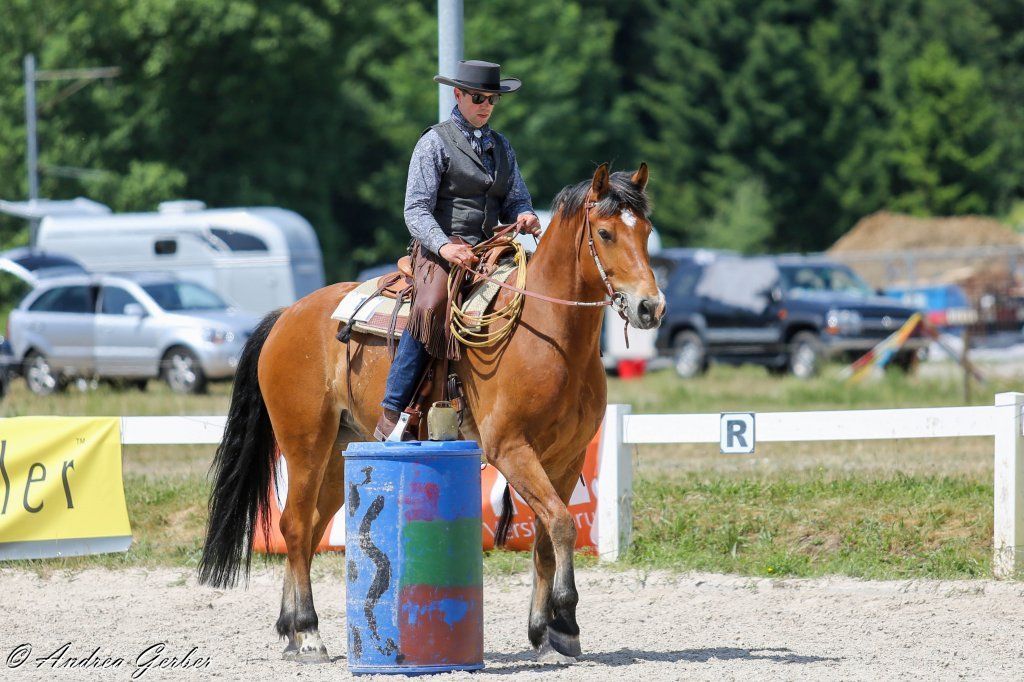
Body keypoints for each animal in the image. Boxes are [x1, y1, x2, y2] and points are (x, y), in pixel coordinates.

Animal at [197, 162, 664, 664]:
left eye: (646, 230)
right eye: (605, 232)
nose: (650, 307)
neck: (546, 336)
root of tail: (287, 315)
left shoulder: (566, 457)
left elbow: (545, 539)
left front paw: (548, 633)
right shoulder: (511, 450)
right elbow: (560, 525)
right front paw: (565, 620)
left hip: (340, 451)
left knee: (307, 527)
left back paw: (291, 631)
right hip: (304, 445)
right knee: (296, 525)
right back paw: (308, 632)